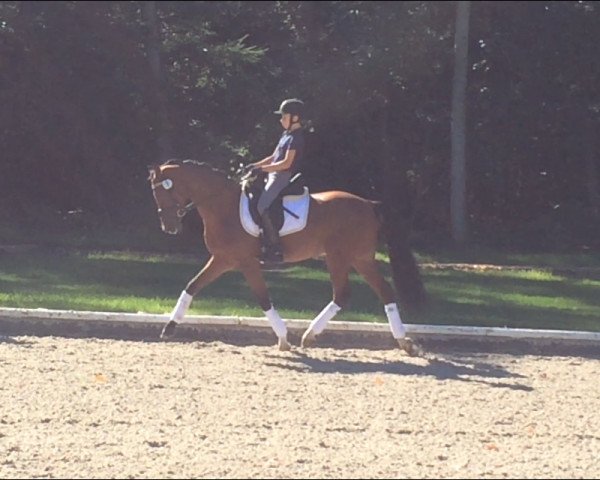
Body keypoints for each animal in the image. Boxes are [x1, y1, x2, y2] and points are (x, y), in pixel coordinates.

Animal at [148, 159, 426, 354]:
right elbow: (192, 286)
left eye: (163, 191)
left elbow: (263, 299)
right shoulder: (222, 259)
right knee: (378, 292)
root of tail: (368, 204)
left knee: (345, 294)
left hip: (341, 256)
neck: (222, 205)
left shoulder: (246, 262)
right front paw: (169, 328)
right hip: (359, 258)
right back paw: (402, 342)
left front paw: (283, 339)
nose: (168, 226)